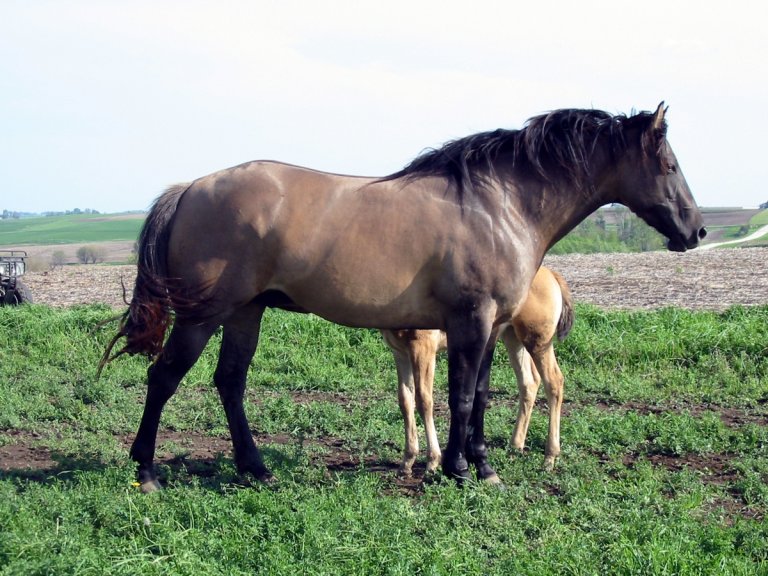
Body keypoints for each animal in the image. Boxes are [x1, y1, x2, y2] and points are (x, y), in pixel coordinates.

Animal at [381, 266, 573, 478]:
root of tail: (552, 275)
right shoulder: (400, 352)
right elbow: (405, 400)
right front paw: (406, 462)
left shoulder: (423, 348)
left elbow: (424, 400)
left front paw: (432, 462)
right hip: (512, 337)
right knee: (529, 382)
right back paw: (514, 447)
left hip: (538, 340)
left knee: (554, 382)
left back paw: (549, 458)